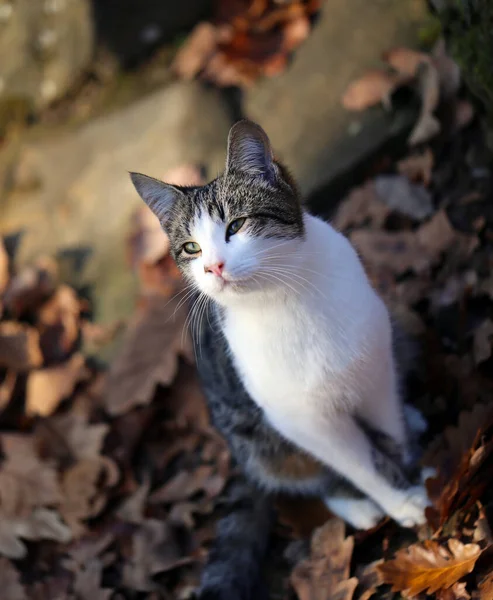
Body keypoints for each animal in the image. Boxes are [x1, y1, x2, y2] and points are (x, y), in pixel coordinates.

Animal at [131, 120, 430, 600]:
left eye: (237, 225)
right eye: (191, 248)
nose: (213, 267)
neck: (284, 296)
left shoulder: (374, 368)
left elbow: (390, 432)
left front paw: (413, 465)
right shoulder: (303, 420)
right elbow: (359, 464)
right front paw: (401, 498)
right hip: (256, 439)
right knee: (309, 477)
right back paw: (358, 507)